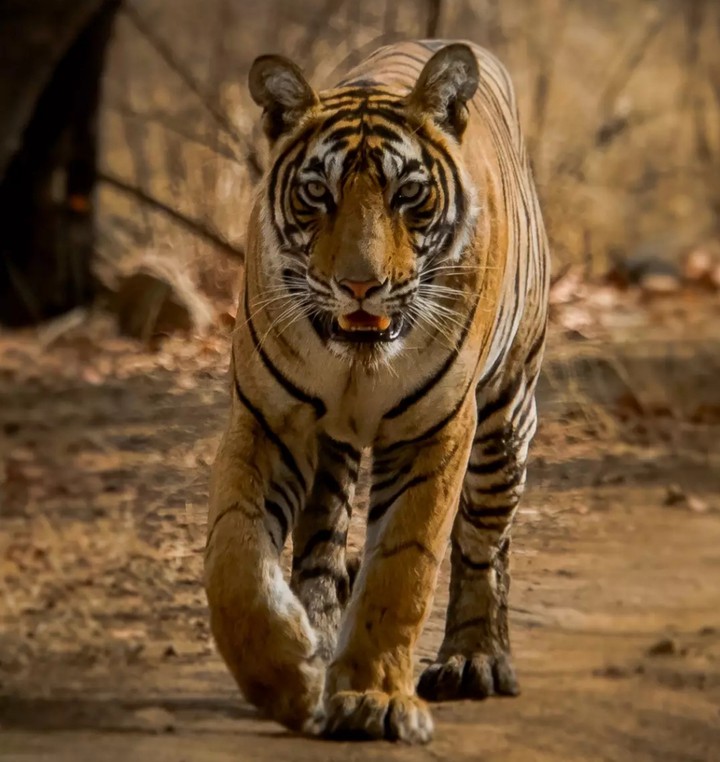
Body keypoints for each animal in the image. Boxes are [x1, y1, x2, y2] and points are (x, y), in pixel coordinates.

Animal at [204, 39, 549, 744]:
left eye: (407, 193)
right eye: (317, 193)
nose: (361, 286)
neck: (356, 365)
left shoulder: (434, 431)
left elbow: (403, 565)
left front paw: (373, 699)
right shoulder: (266, 420)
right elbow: (235, 559)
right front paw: (288, 680)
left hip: (505, 420)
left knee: (484, 546)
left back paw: (474, 659)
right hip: (331, 451)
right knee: (321, 547)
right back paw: (317, 635)